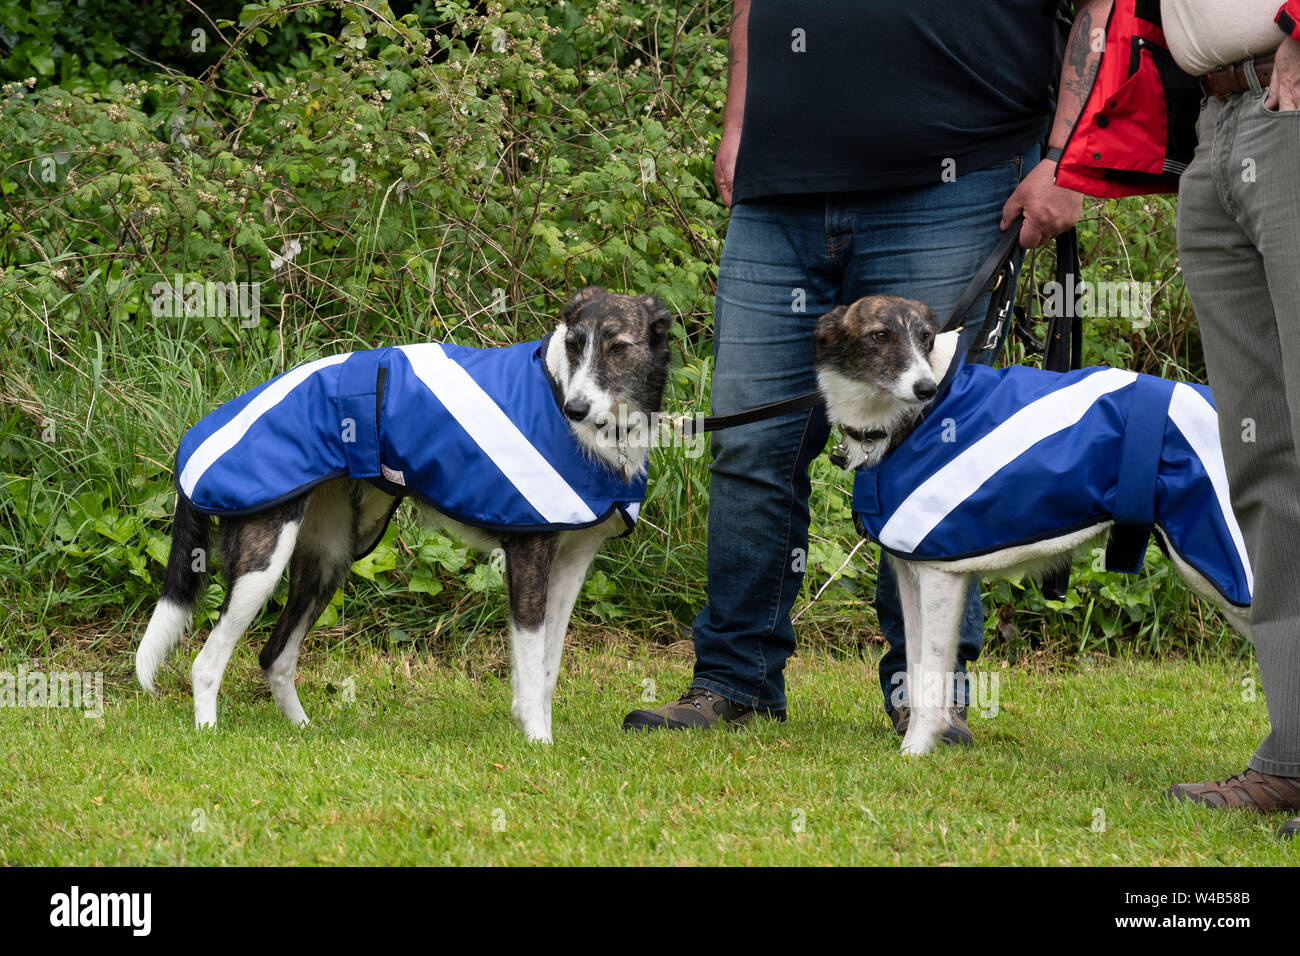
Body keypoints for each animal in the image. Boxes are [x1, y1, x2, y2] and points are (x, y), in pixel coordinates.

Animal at [137, 287, 676, 743]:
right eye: (575, 343)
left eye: (618, 347)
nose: (575, 408)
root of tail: (195, 441)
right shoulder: (527, 558)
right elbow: (528, 669)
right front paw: (537, 743)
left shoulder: (570, 566)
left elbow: (546, 670)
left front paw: (539, 735)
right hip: (262, 563)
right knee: (207, 662)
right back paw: (208, 733)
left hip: (327, 562)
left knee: (275, 656)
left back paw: (303, 730)